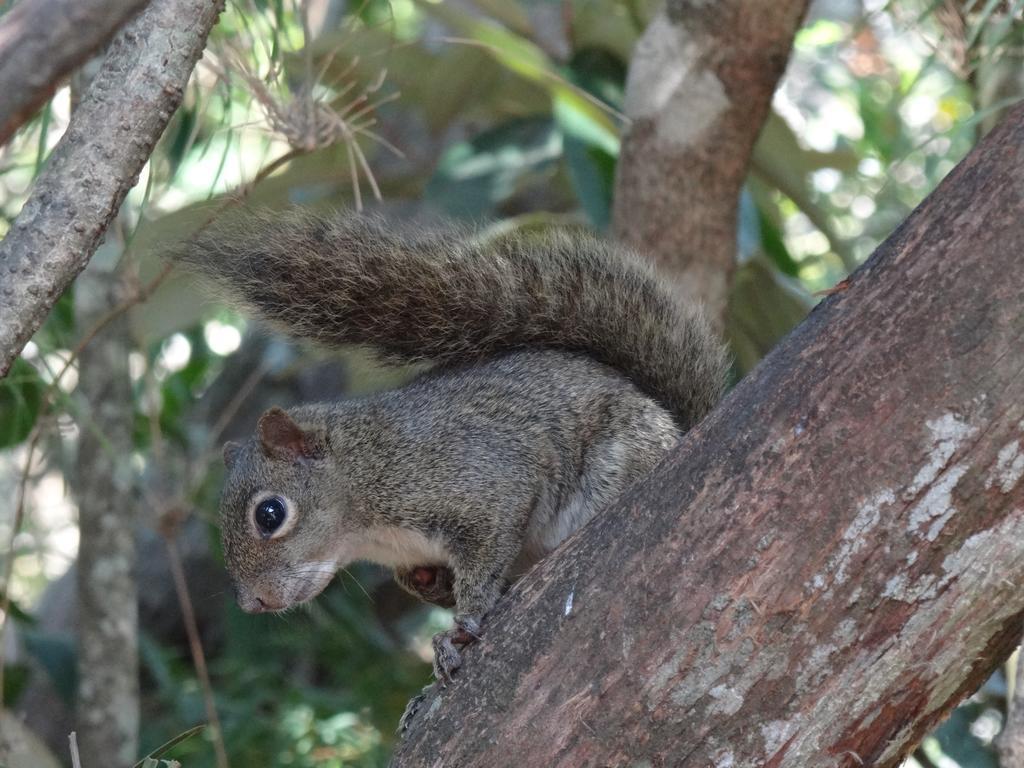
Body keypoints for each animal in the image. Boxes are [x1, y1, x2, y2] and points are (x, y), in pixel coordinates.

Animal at [169, 207, 729, 688]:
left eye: (270, 514)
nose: (253, 603)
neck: (363, 478)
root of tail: (678, 426)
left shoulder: (475, 479)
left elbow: (488, 550)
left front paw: (462, 624)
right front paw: (430, 586)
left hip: (619, 460)